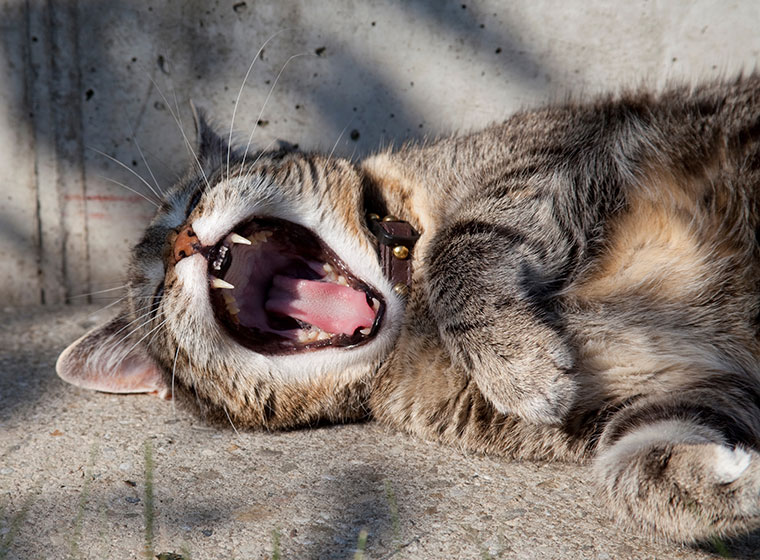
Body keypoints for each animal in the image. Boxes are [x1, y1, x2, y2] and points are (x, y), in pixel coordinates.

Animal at [56, 75, 760, 544]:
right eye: (153, 293)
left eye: (191, 198)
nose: (178, 244)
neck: (410, 304)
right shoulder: (671, 394)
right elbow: (632, 466)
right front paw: (731, 486)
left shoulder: (547, 154)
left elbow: (459, 247)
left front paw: (515, 361)